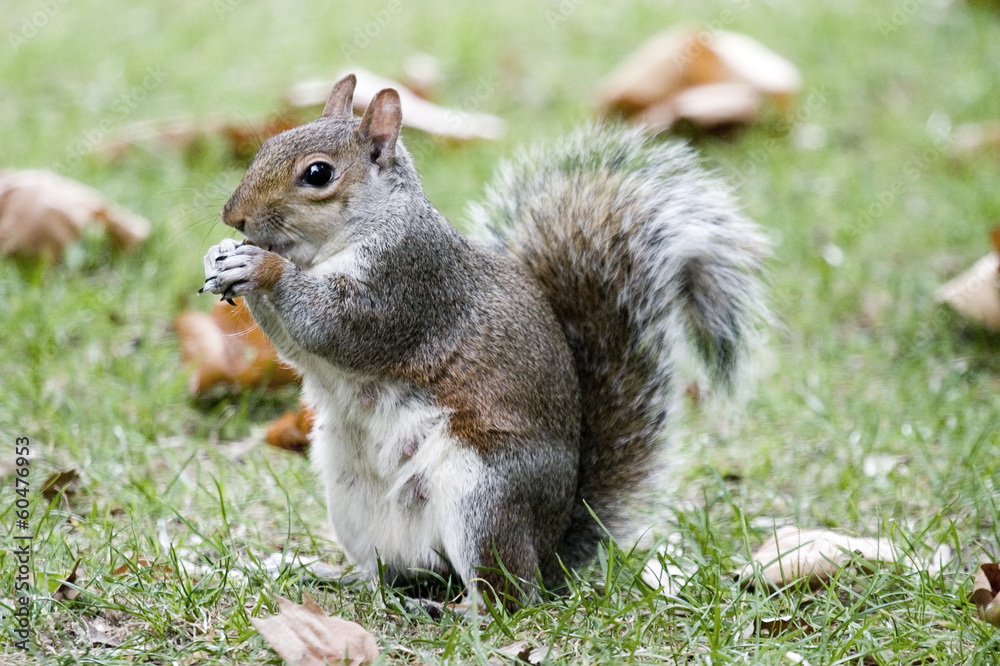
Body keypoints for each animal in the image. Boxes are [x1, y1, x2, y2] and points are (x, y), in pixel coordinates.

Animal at [201, 73, 769, 609]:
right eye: (266, 147)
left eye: (318, 174)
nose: (233, 216)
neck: (343, 239)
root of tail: (550, 550)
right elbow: (296, 345)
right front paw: (222, 256)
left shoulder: (405, 285)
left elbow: (329, 325)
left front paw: (263, 265)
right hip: (351, 498)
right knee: (390, 570)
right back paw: (331, 572)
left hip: (484, 494)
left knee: (510, 595)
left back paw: (453, 610)